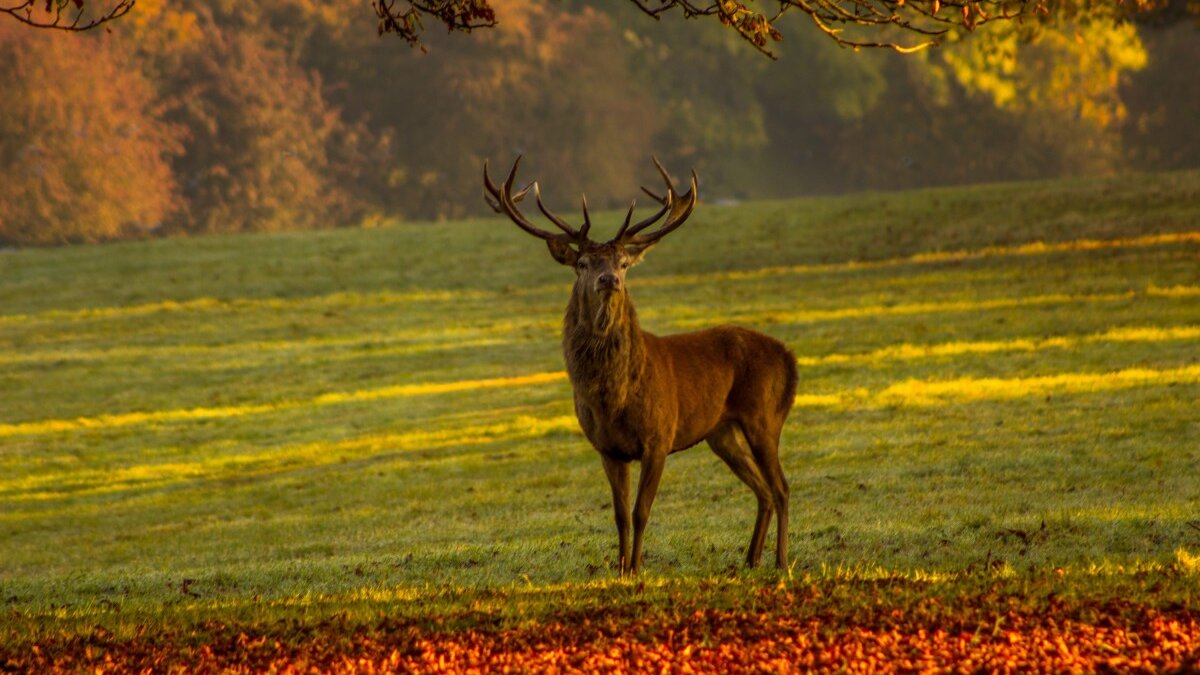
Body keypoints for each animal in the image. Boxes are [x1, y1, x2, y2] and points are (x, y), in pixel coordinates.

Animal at [477, 157, 796, 571]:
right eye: (582, 262)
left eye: (624, 262)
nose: (609, 279)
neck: (614, 399)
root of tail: (789, 358)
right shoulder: (607, 449)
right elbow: (619, 515)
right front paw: (620, 568)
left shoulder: (659, 438)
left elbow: (641, 511)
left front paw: (637, 567)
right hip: (721, 432)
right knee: (763, 489)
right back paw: (751, 558)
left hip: (764, 416)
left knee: (782, 486)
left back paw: (781, 560)